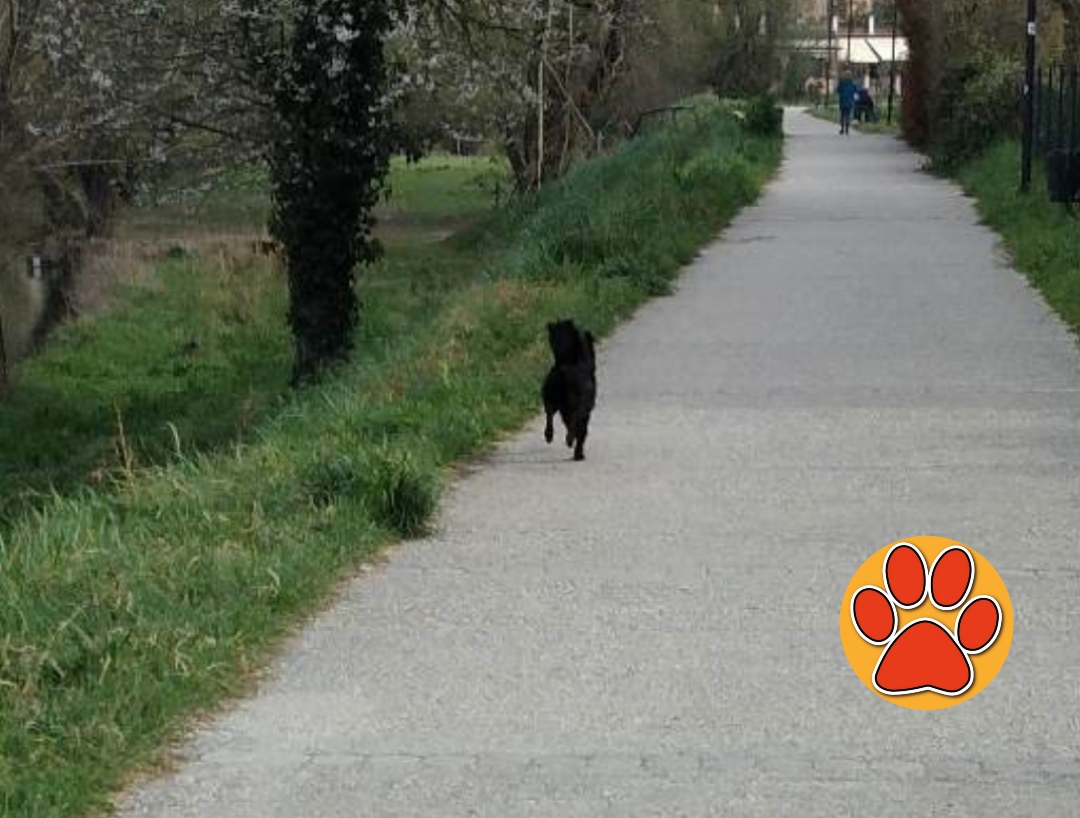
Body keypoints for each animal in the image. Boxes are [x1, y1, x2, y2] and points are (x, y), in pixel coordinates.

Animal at [542, 320, 597, 462]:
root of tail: (564, 369)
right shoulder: (585, 411)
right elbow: (581, 432)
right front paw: (578, 451)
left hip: (551, 397)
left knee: (549, 415)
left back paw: (549, 435)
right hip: (578, 406)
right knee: (576, 424)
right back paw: (571, 442)